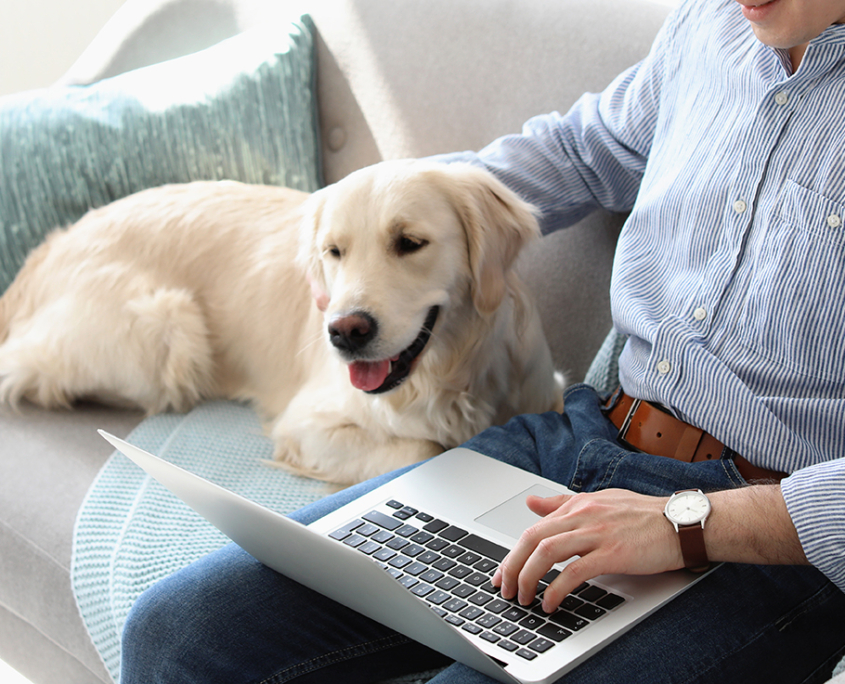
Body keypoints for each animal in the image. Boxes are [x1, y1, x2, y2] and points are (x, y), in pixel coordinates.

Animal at [1, 160, 568, 480]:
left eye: (410, 242)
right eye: (333, 251)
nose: (344, 332)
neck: (451, 374)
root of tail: (49, 247)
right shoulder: (306, 425)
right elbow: (425, 447)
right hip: (167, 329)